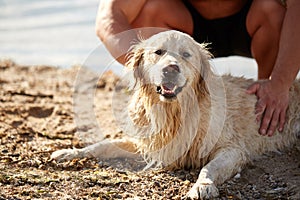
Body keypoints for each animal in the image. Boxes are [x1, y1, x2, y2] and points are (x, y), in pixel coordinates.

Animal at [52, 30, 300, 199]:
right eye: (158, 52)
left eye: (186, 55)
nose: (171, 68)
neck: (175, 112)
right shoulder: (148, 143)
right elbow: (102, 145)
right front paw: (69, 152)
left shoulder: (233, 148)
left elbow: (209, 167)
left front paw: (202, 186)